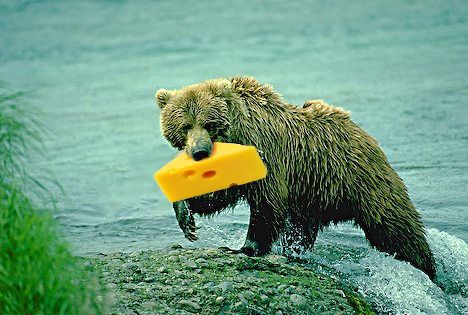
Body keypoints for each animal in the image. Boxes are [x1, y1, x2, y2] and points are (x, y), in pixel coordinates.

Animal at [156, 76, 436, 278]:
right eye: (185, 126)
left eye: (209, 123)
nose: (200, 152)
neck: (239, 135)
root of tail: (367, 137)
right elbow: (218, 193)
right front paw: (187, 217)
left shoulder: (268, 156)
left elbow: (266, 205)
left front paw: (245, 248)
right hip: (312, 195)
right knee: (300, 229)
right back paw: (294, 251)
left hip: (363, 181)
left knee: (396, 229)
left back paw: (427, 268)